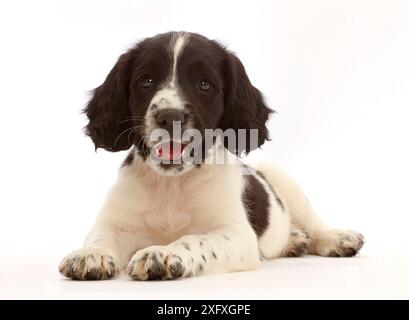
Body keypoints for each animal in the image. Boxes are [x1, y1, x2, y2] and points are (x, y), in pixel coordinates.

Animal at [58, 31, 364, 280]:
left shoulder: (237, 236)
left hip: (282, 178)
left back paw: (334, 238)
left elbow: (195, 239)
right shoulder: (116, 223)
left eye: (205, 84)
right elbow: (100, 237)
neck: (170, 184)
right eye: (146, 81)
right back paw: (294, 239)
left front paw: (164, 253)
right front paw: (90, 254)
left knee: (314, 222)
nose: (169, 116)